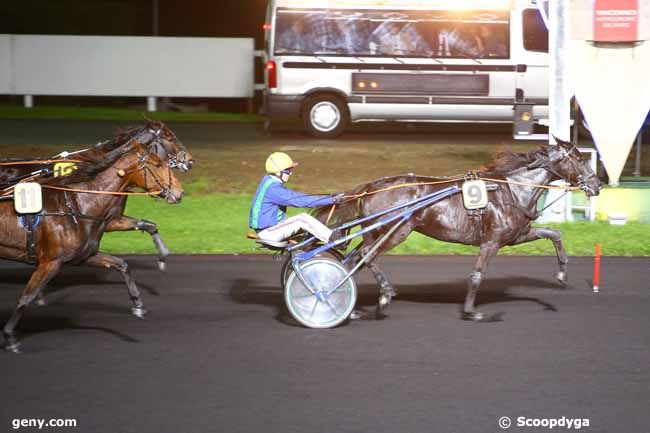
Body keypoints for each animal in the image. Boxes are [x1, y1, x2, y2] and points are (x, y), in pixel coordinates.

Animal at [0, 138, 182, 352]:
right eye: (158, 164)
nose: (180, 192)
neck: (76, 205)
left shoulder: (85, 254)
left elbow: (122, 263)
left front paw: (138, 304)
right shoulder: (51, 262)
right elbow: (26, 296)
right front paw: (10, 337)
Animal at [312, 138, 596, 320]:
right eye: (579, 159)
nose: (597, 184)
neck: (512, 191)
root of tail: (371, 187)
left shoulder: (516, 236)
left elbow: (555, 234)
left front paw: (561, 275)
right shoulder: (491, 242)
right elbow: (477, 275)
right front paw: (471, 311)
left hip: (376, 232)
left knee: (355, 261)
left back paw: (350, 304)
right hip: (396, 231)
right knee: (368, 257)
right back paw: (383, 296)